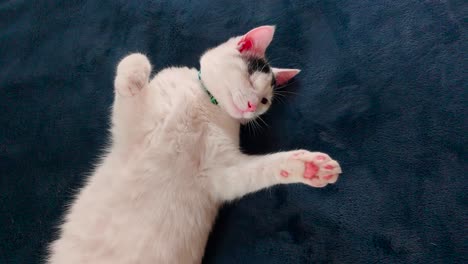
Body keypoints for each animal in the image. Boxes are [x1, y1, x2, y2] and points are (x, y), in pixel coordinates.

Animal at [47, 25, 342, 264]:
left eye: (264, 101)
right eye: (250, 79)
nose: (251, 106)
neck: (206, 103)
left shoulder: (220, 174)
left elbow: (260, 169)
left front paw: (309, 167)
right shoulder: (135, 129)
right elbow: (133, 62)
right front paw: (137, 72)